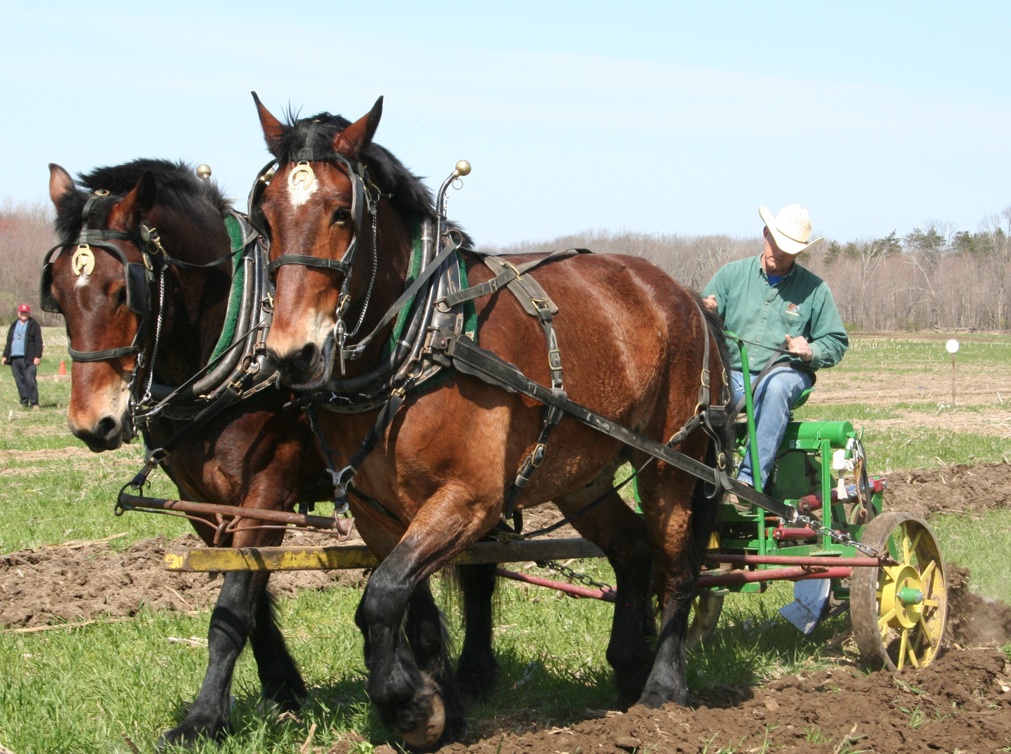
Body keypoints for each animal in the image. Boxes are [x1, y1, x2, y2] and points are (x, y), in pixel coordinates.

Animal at [45, 158, 329, 747]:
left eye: (122, 291)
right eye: (56, 296)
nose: (91, 425)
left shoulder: (270, 489)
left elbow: (234, 601)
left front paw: (202, 719)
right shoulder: (203, 501)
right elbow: (248, 599)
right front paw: (284, 691)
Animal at [248, 93, 731, 747]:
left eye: (343, 213)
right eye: (266, 216)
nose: (291, 354)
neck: (426, 337)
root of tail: (685, 295)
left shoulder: (471, 499)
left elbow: (381, 597)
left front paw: (407, 707)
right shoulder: (381, 515)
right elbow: (407, 609)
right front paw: (439, 709)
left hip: (671, 460)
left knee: (678, 564)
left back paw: (662, 688)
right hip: (581, 474)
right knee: (633, 550)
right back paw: (628, 666)